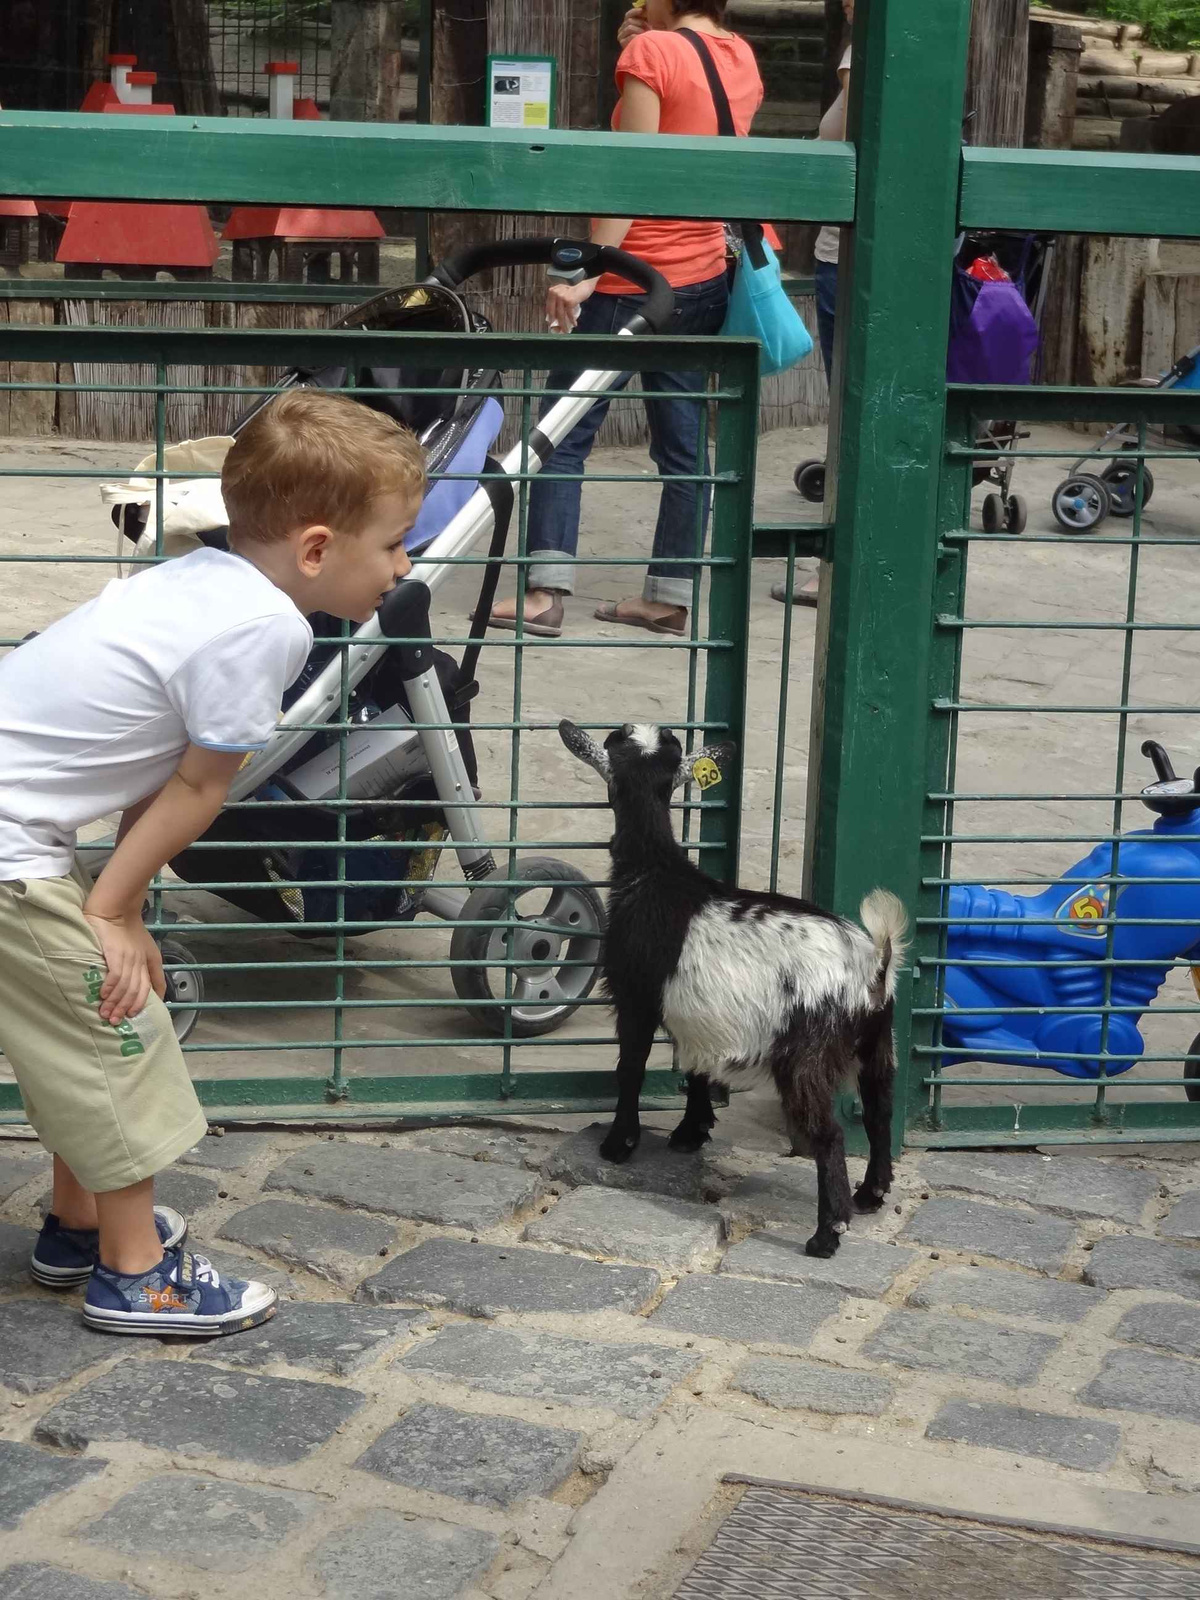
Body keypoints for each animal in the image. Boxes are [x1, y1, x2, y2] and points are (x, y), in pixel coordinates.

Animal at [560, 720, 908, 1254]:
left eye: (615, 738)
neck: (653, 873)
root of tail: (872, 966)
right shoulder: (700, 1012)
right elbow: (696, 1066)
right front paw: (690, 1133)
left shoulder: (636, 995)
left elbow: (631, 1068)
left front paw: (619, 1145)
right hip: (878, 1041)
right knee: (878, 1110)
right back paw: (871, 1194)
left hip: (806, 1054)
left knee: (828, 1133)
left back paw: (827, 1234)